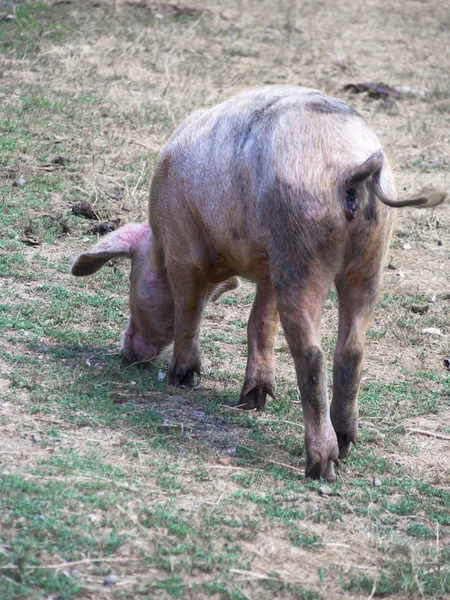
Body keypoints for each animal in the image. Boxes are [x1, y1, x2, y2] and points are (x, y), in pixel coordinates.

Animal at [72, 84, 444, 480]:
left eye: (132, 280)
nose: (126, 354)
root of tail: (354, 168)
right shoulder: (268, 267)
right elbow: (260, 321)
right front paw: (253, 400)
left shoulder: (182, 250)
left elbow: (188, 312)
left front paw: (181, 378)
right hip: (370, 256)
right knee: (352, 348)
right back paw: (344, 445)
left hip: (301, 249)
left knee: (312, 355)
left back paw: (320, 466)